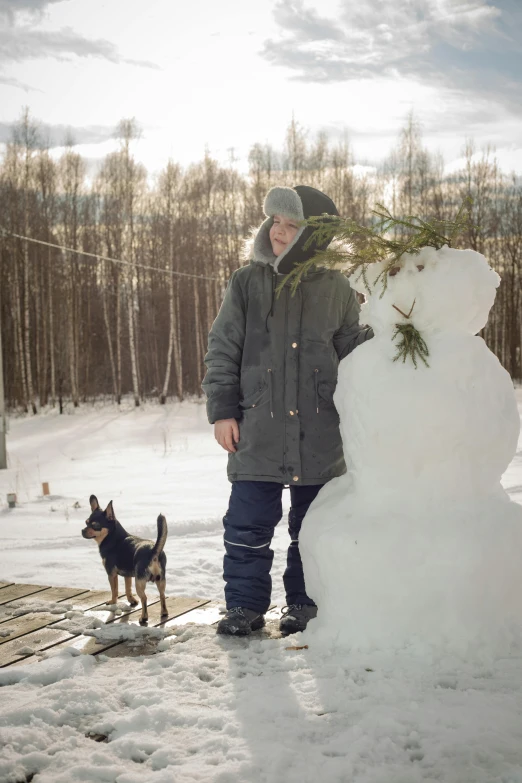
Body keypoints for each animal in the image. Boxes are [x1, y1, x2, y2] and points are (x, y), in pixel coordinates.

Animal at [80, 496, 169, 624]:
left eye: (95, 525)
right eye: (86, 522)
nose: (82, 530)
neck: (112, 537)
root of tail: (153, 551)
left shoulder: (111, 574)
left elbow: (114, 590)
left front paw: (112, 602)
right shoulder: (128, 575)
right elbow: (128, 589)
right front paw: (132, 601)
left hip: (139, 581)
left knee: (144, 598)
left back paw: (143, 617)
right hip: (160, 580)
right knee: (162, 595)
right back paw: (164, 612)